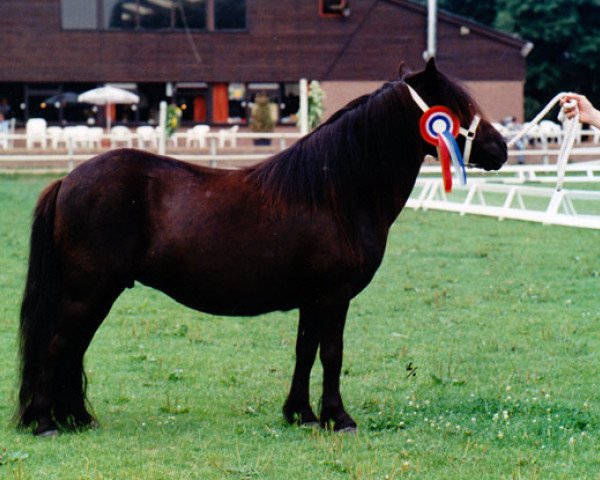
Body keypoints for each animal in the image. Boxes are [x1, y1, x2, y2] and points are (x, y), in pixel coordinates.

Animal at [16, 60, 506, 436]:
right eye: (459, 107)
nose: (500, 148)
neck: (337, 190)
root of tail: (68, 180)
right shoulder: (334, 296)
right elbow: (332, 353)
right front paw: (339, 418)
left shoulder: (313, 299)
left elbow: (305, 350)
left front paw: (301, 414)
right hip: (89, 291)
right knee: (58, 345)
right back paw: (46, 422)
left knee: (73, 348)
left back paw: (77, 419)